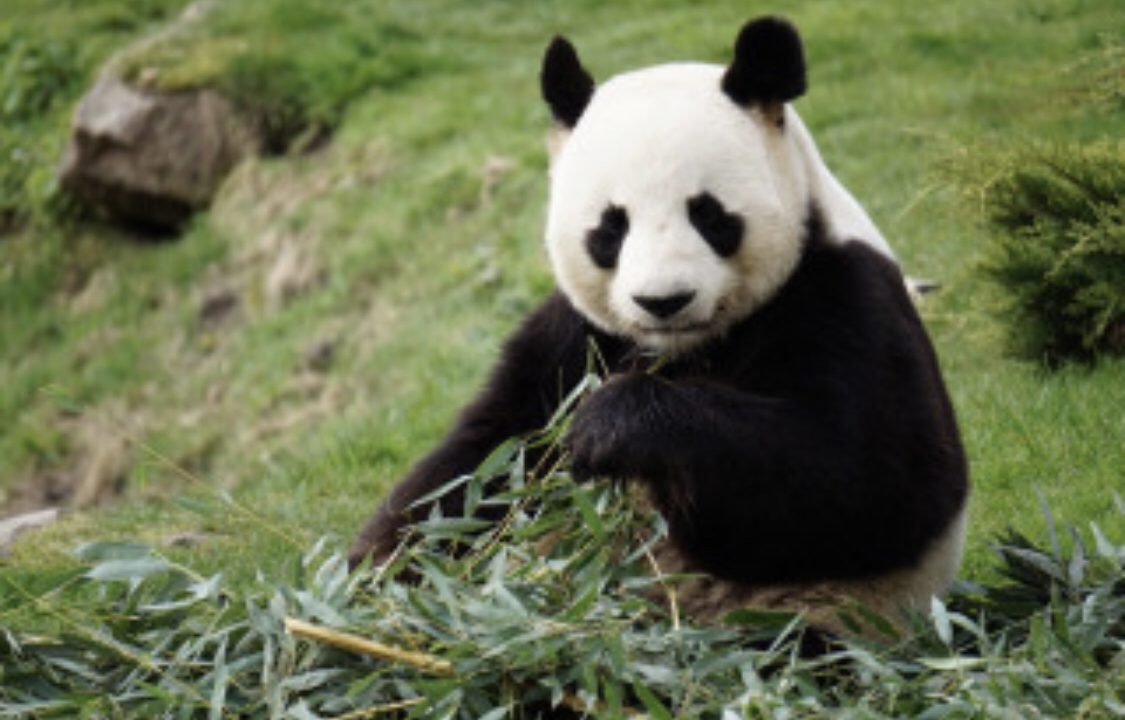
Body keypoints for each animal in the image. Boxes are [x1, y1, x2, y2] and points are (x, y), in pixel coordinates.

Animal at [351, 15, 967, 634]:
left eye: (710, 215)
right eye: (611, 227)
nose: (663, 301)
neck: (681, 348)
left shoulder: (844, 299)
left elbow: (870, 482)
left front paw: (609, 426)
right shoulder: (575, 340)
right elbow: (480, 464)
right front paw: (373, 586)